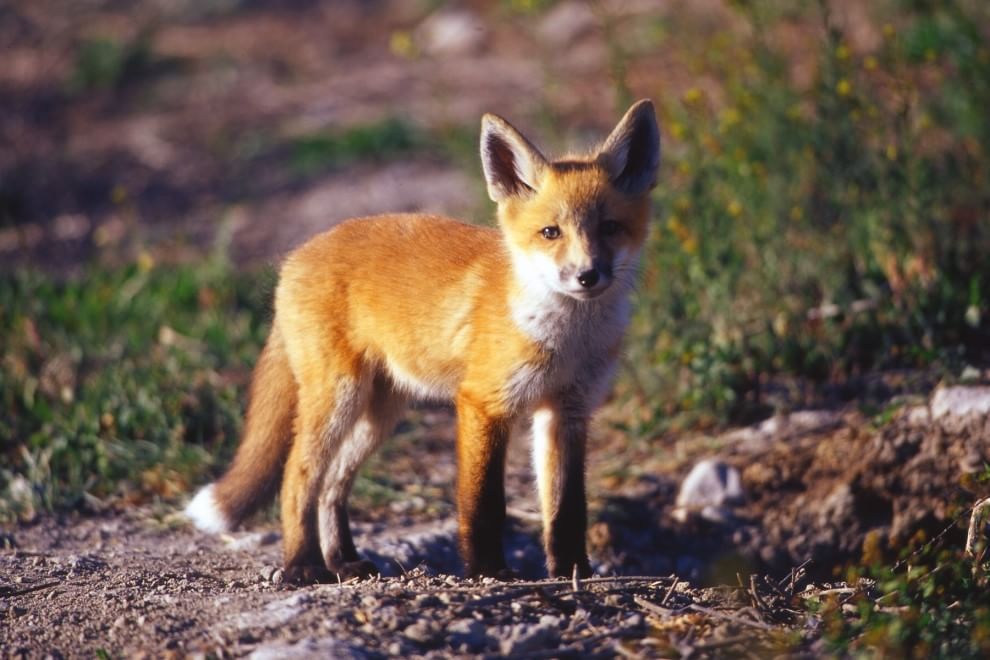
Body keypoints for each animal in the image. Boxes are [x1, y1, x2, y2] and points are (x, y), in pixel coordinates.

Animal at [185, 100, 661, 581]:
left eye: (610, 227)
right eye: (551, 232)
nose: (588, 275)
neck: (567, 340)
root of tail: (297, 254)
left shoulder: (568, 410)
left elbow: (568, 507)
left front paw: (571, 571)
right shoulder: (482, 402)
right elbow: (485, 503)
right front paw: (489, 570)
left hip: (381, 412)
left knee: (333, 485)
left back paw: (344, 560)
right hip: (339, 398)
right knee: (298, 476)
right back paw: (303, 564)